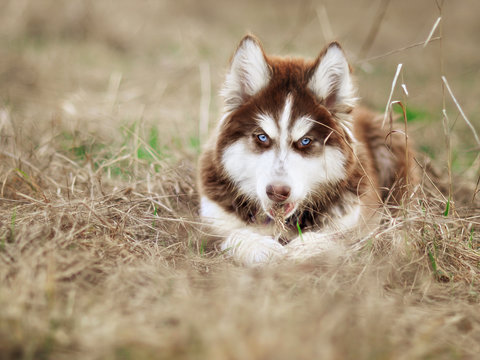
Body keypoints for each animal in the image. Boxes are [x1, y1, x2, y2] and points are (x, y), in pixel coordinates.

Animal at [199, 35, 416, 266]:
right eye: (262, 137)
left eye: (305, 141)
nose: (277, 191)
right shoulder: (210, 225)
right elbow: (232, 234)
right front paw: (259, 247)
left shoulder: (357, 223)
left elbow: (334, 237)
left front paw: (303, 249)